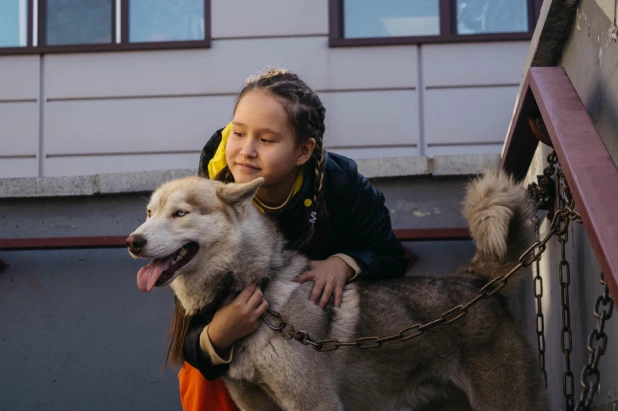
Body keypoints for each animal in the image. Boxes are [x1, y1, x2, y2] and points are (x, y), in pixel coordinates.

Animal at [126, 173, 544, 411]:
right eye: (148, 213)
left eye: (180, 213)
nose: (132, 241)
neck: (261, 287)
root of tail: (476, 281)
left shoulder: (315, 402)